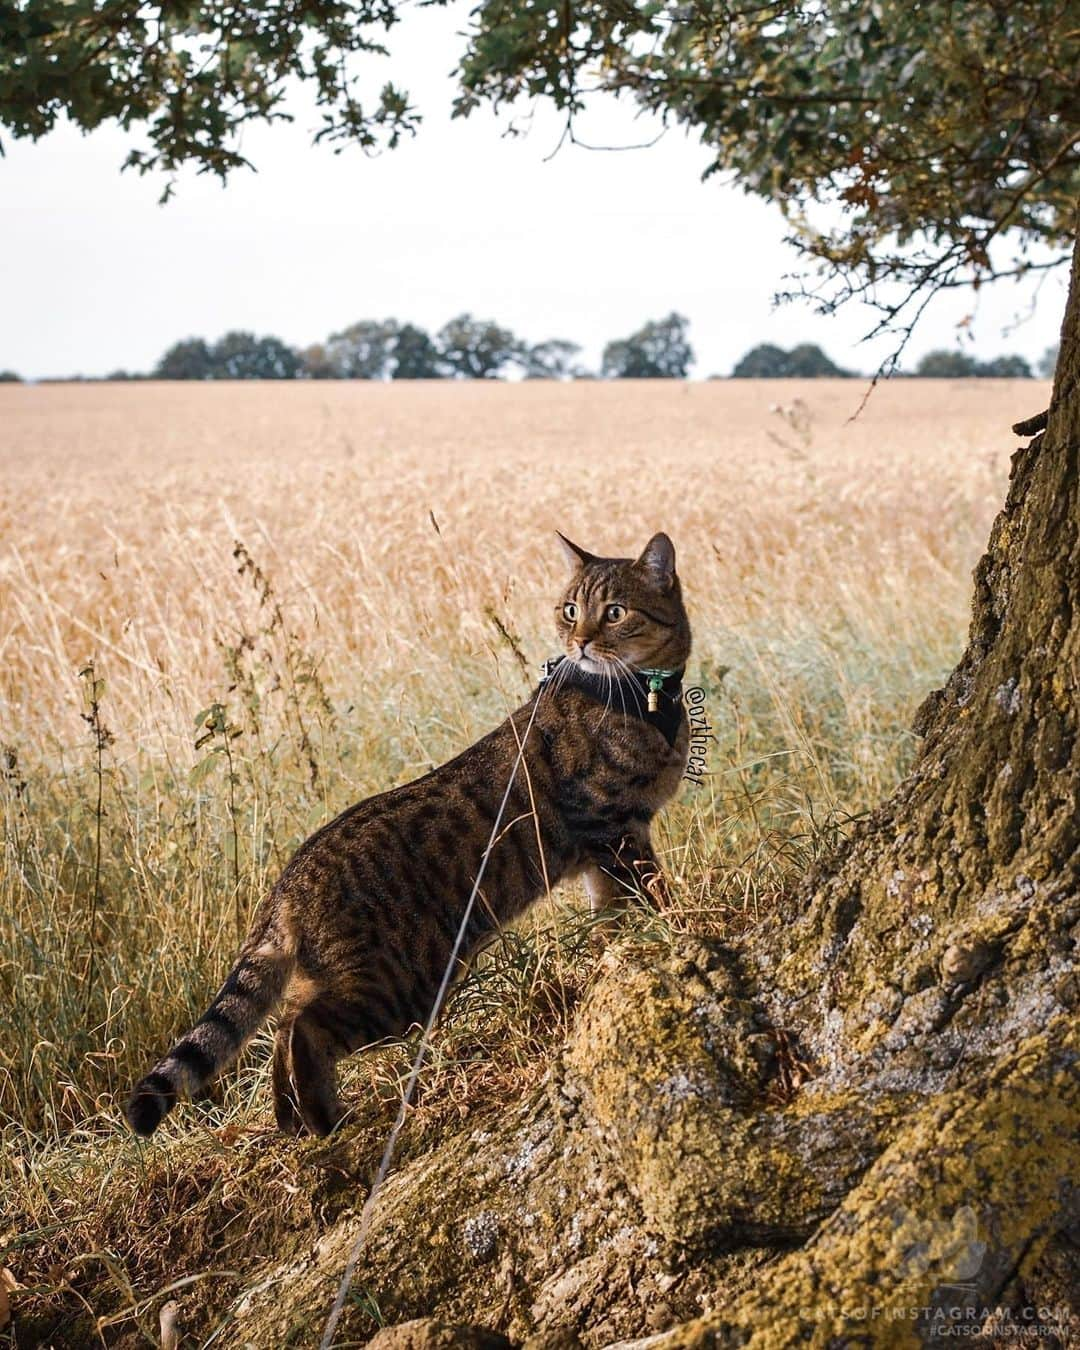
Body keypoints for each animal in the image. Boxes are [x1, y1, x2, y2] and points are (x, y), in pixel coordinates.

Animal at [126, 531, 688, 1134]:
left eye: (614, 612)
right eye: (570, 610)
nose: (579, 641)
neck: (644, 699)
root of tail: (289, 882)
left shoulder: (602, 852)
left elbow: (613, 919)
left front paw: (623, 953)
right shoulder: (615, 828)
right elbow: (655, 895)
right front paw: (677, 930)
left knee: (284, 1022)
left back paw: (295, 1120)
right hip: (401, 985)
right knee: (303, 1027)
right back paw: (323, 1118)